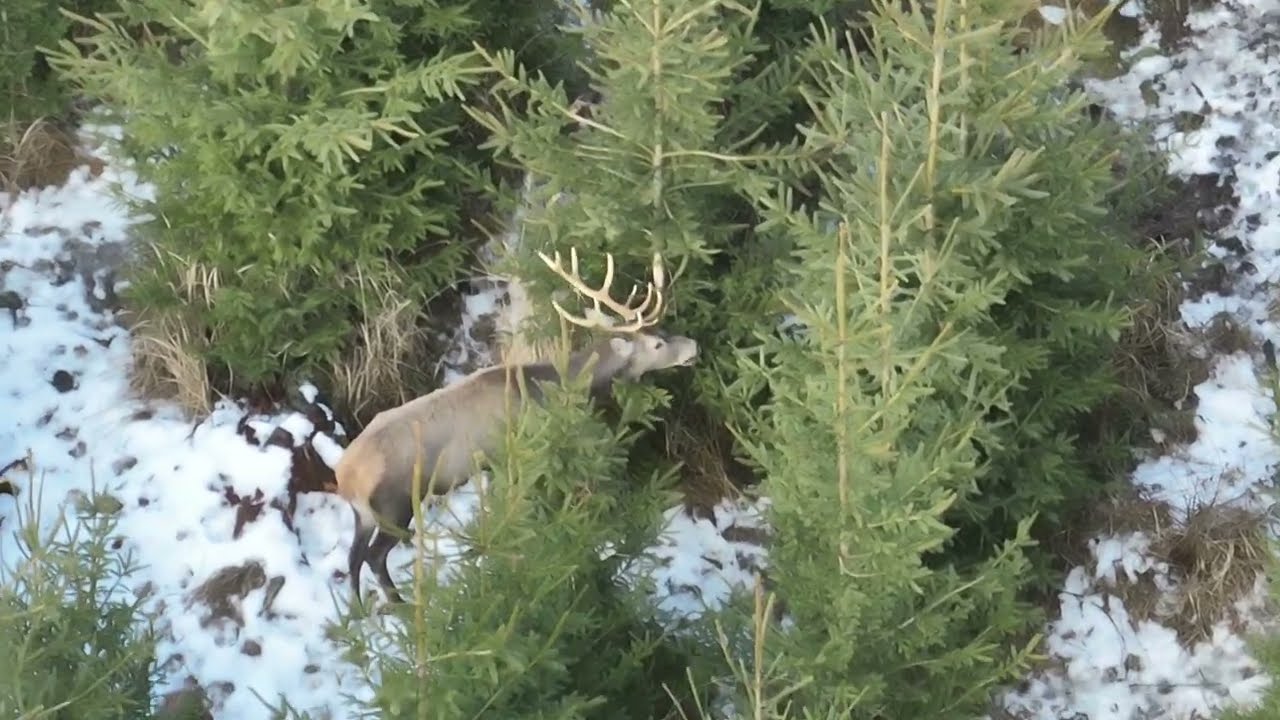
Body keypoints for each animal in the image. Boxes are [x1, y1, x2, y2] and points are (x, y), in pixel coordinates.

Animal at [335, 247, 698, 605]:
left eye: (664, 330)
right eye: (657, 344)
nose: (693, 346)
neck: (552, 388)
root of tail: (345, 476)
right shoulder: (516, 454)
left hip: (364, 514)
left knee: (353, 558)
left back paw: (358, 612)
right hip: (395, 504)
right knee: (374, 556)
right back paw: (402, 608)